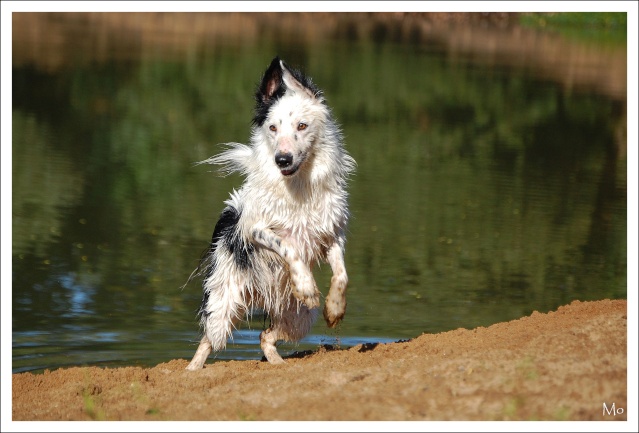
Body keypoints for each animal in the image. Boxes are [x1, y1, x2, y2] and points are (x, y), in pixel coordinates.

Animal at [185, 55, 358, 370]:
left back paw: (279, 365)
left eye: (302, 126)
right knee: (207, 341)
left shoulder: (332, 232)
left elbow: (341, 275)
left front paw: (335, 309)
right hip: (223, 302)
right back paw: (190, 372)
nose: (282, 159)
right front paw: (306, 284)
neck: (299, 187)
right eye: (273, 128)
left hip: (298, 316)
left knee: (265, 335)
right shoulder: (257, 229)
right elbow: (289, 246)